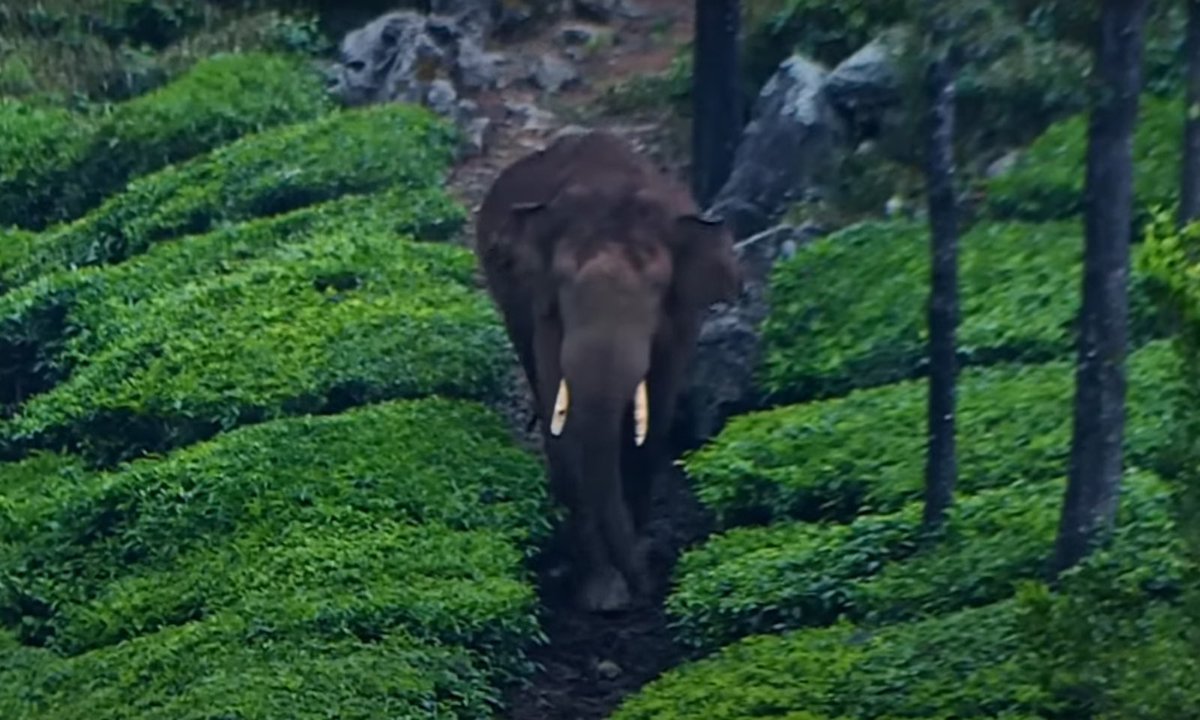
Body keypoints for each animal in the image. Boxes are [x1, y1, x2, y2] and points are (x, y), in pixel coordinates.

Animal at [473, 130, 742, 613]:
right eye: (564, 282)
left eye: (656, 288)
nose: (651, 587)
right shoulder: (544, 309)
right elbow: (564, 428)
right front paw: (602, 597)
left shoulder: (680, 322)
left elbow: (652, 424)